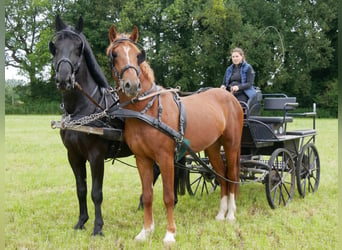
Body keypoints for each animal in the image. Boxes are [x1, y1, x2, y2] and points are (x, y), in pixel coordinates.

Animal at [48, 16, 184, 236]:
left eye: (78, 47)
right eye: (55, 46)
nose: (64, 79)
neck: (81, 109)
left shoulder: (96, 155)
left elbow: (96, 192)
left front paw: (97, 227)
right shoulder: (73, 155)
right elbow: (81, 189)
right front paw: (81, 221)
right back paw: (144, 204)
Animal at [107, 25, 243, 244]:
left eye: (137, 55)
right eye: (114, 54)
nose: (132, 85)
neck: (148, 109)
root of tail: (230, 96)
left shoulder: (165, 158)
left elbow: (168, 196)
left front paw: (170, 233)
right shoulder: (142, 159)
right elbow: (147, 195)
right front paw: (145, 232)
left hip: (231, 145)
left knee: (231, 175)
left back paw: (230, 214)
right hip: (213, 148)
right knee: (221, 175)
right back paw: (221, 214)